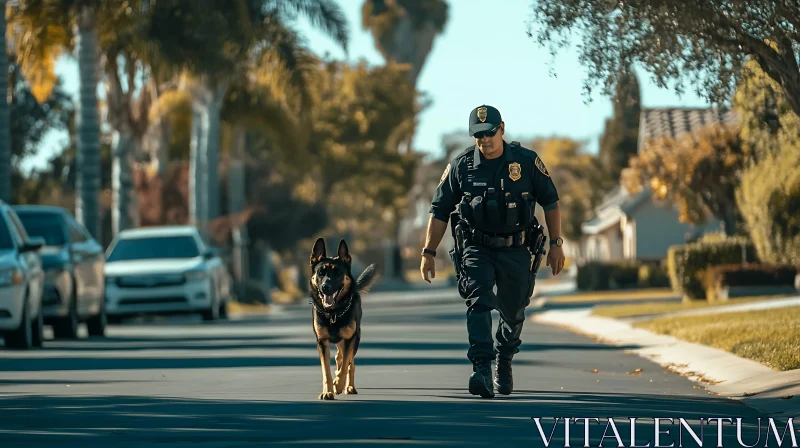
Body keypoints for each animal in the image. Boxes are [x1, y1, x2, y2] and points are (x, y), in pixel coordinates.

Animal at [310, 238, 378, 400]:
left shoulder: (349, 339)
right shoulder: (322, 342)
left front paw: (338, 385)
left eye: (338, 273)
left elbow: (345, 367)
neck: (333, 313)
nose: (325, 286)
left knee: (350, 363)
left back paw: (349, 387)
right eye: (320, 273)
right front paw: (327, 391)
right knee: (338, 357)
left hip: (354, 339)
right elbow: (326, 371)